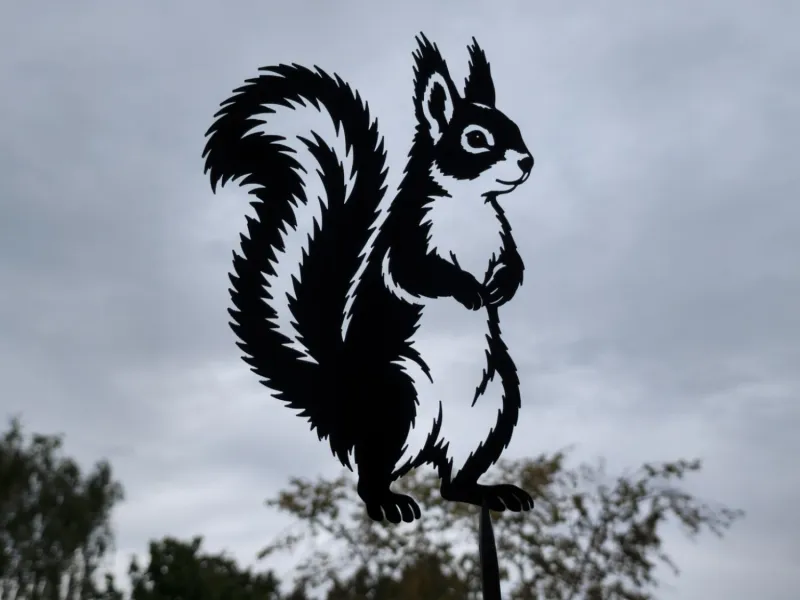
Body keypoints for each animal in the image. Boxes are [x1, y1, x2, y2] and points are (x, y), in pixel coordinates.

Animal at [203, 33, 535, 524]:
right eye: (476, 138)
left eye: (514, 127)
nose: (527, 162)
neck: (468, 204)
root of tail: (340, 401)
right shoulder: (408, 240)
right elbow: (418, 273)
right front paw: (471, 290)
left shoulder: (501, 233)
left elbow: (514, 264)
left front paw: (499, 287)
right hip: (397, 399)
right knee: (372, 473)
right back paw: (388, 502)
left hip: (495, 404)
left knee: (454, 484)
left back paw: (491, 492)